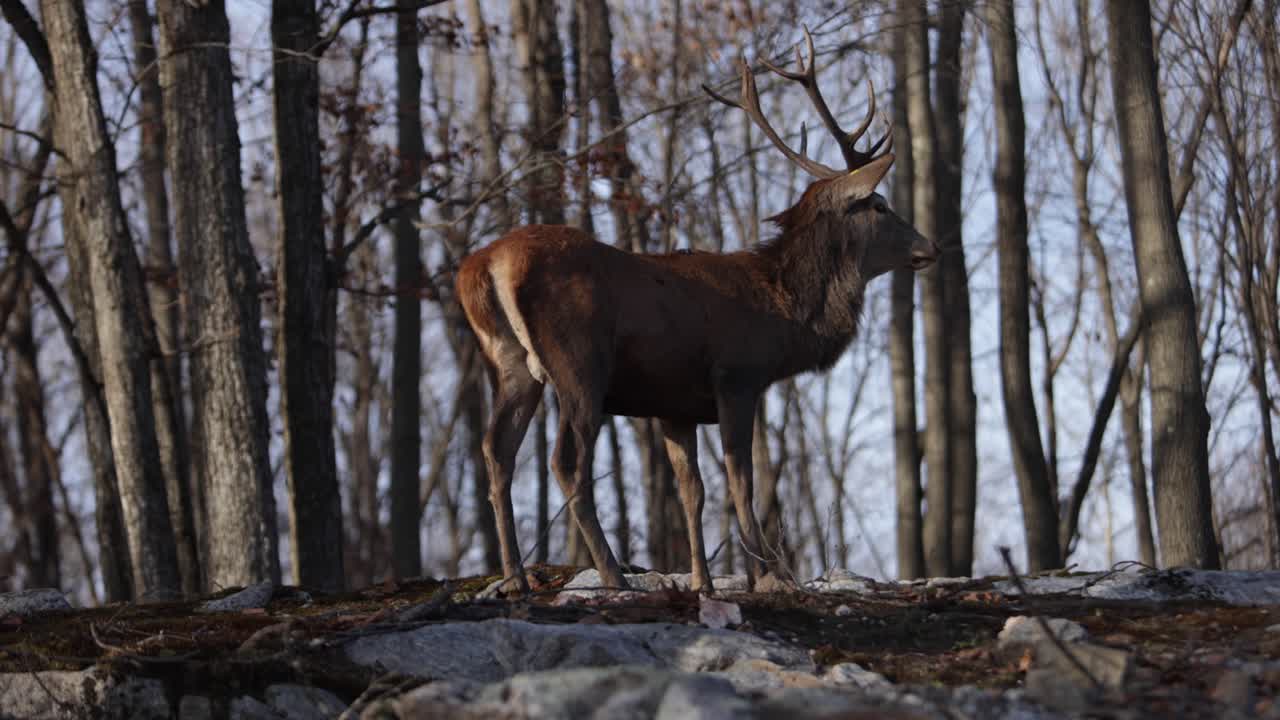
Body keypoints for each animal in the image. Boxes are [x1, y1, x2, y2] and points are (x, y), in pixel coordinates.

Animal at [456, 28, 938, 594]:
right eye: (880, 206)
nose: (930, 247)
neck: (781, 312)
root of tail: (486, 264)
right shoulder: (736, 376)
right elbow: (740, 483)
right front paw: (769, 575)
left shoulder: (675, 406)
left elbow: (693, 491)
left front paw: (703, 581)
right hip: (578, 360)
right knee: (566, 460)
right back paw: (612, 574)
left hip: (512, 365)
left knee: (497, 451)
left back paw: (515, 577)